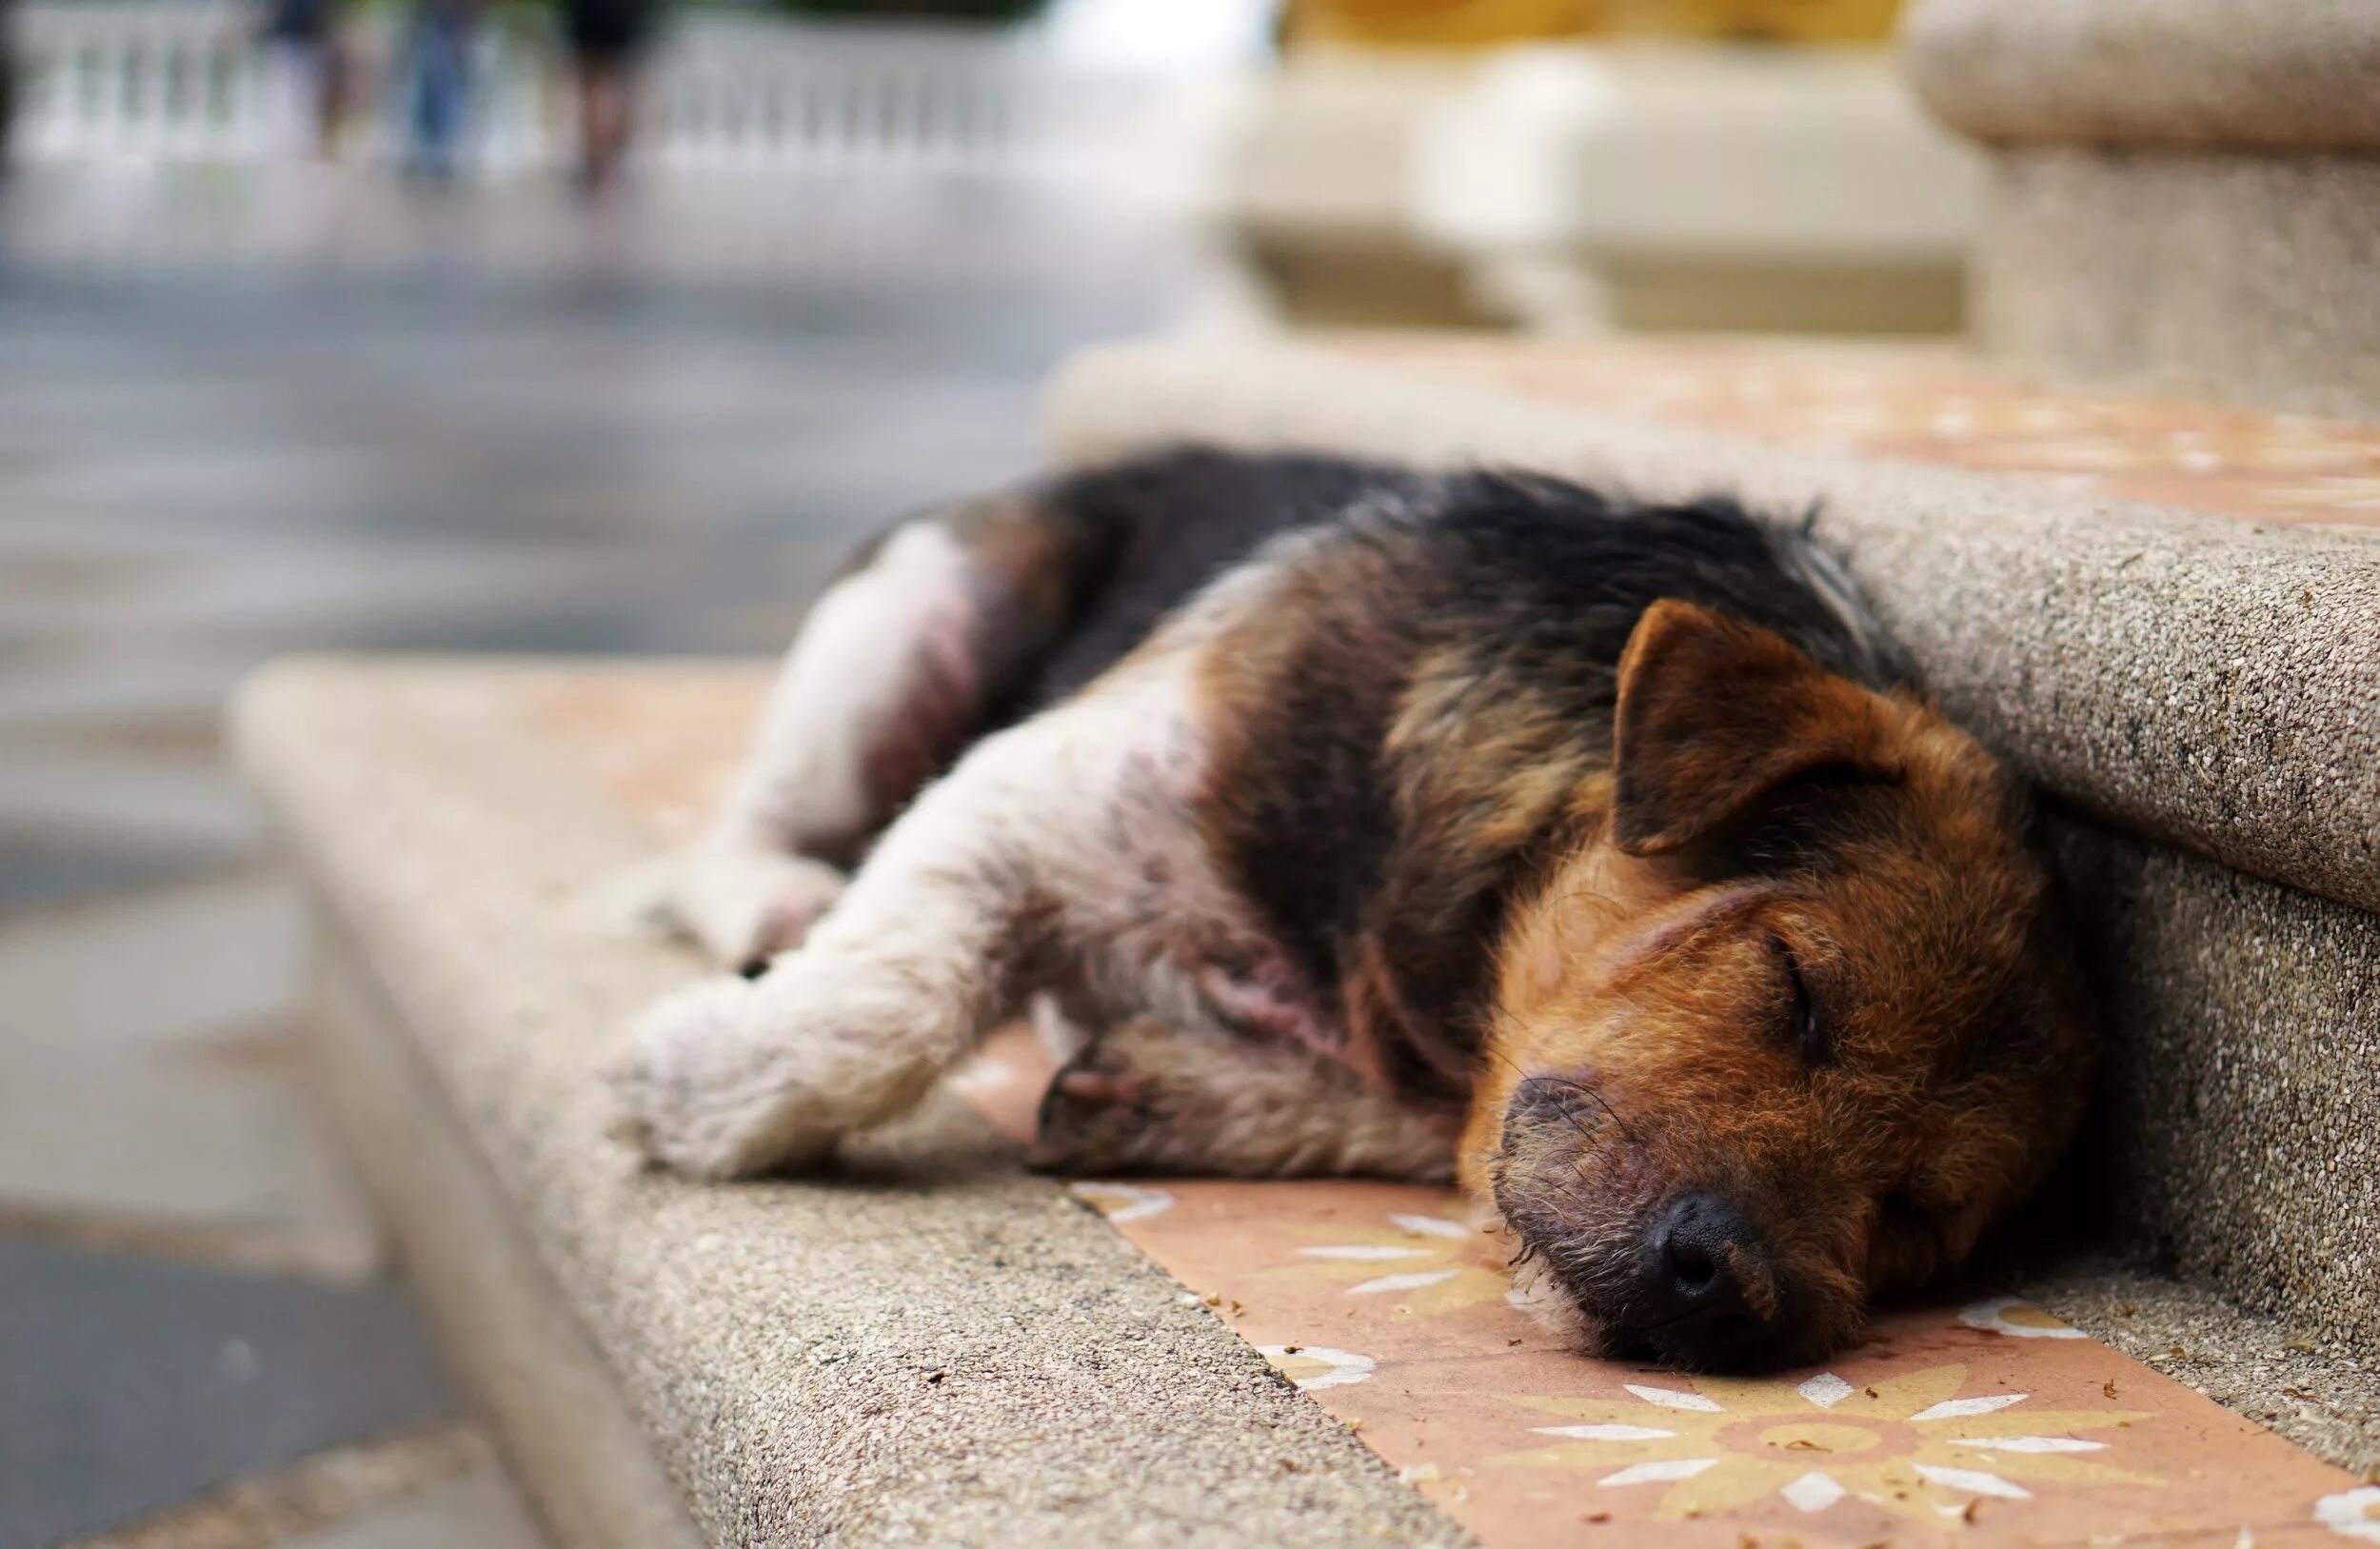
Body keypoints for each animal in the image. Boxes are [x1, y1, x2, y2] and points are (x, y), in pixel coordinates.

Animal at [619, 445, 2104, 1370]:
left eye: (1918, 1214)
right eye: (1795, 986)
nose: (1733, 1292)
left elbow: (1410, 1119)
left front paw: (1168, 1088)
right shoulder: (1038, 789)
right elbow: (893, 997)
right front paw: (702, 1089)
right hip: (919, 610)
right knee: (728, 833)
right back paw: (773, 903)